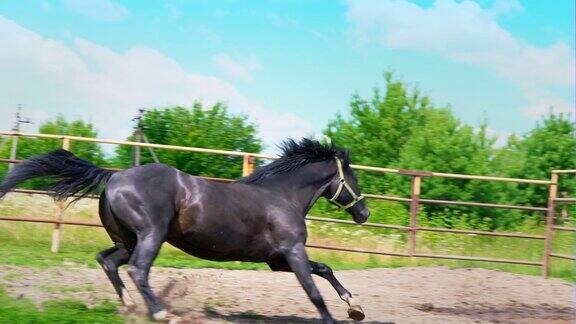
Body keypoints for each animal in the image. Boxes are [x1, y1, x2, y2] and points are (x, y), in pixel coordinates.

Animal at [0, 138, 368, 322]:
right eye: (353, 178)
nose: (364, 213)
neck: (281, 196)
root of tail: (115, 177)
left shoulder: (277, 260)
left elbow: (325, 269)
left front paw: (355, 307)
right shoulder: (292, 253)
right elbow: (314, 291)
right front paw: (338, 315)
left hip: (128, 240)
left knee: (108, 261)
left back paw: (130, 306)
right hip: (151, 235)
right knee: (138, 270)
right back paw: (162, 313)